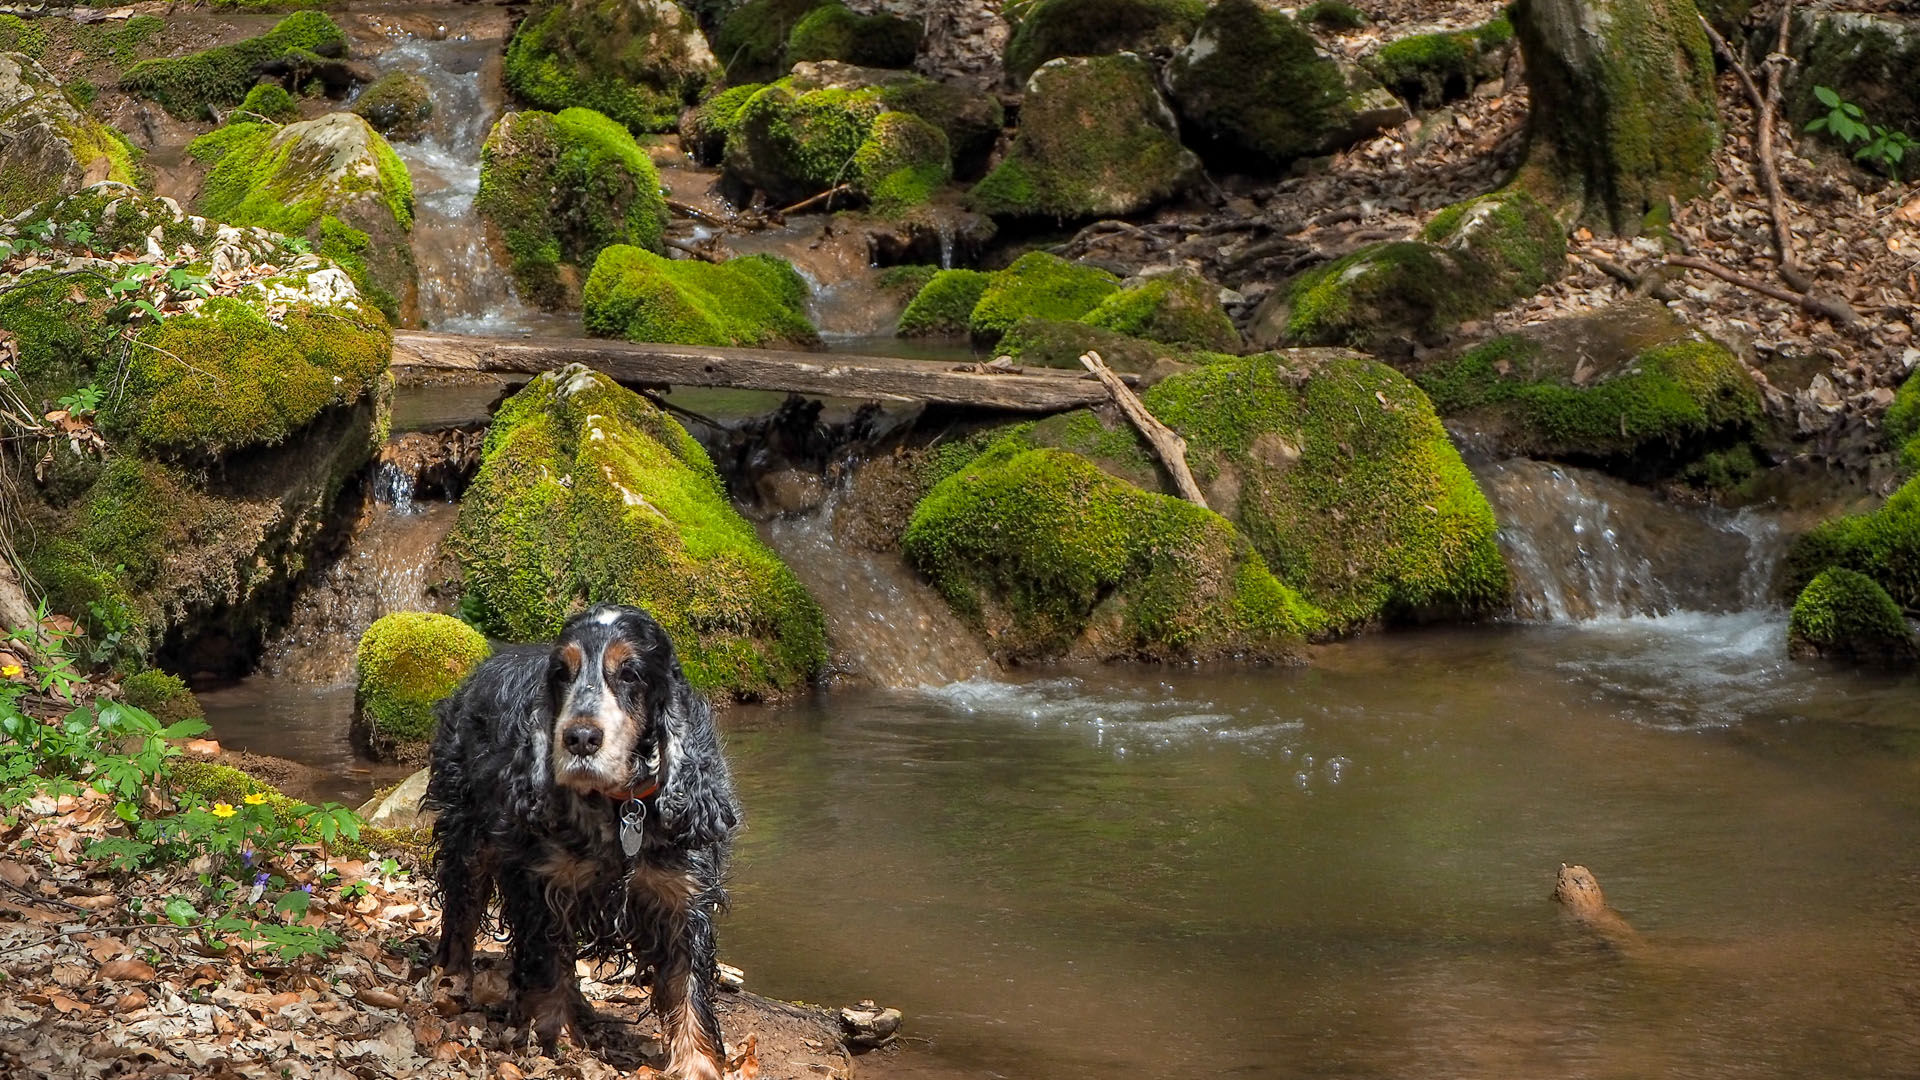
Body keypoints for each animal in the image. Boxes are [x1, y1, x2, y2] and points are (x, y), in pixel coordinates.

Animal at [424, 599, 737, 1068]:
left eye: (630, 673)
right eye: (561, 673)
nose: (580, 738)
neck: (619, 807)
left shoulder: (683, 899)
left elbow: (690, 990)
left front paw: (698, 1064)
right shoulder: (543, 887)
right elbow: (548, 964)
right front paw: (554, 1037)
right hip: (468, 834)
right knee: (461, 910)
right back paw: (453, 979)